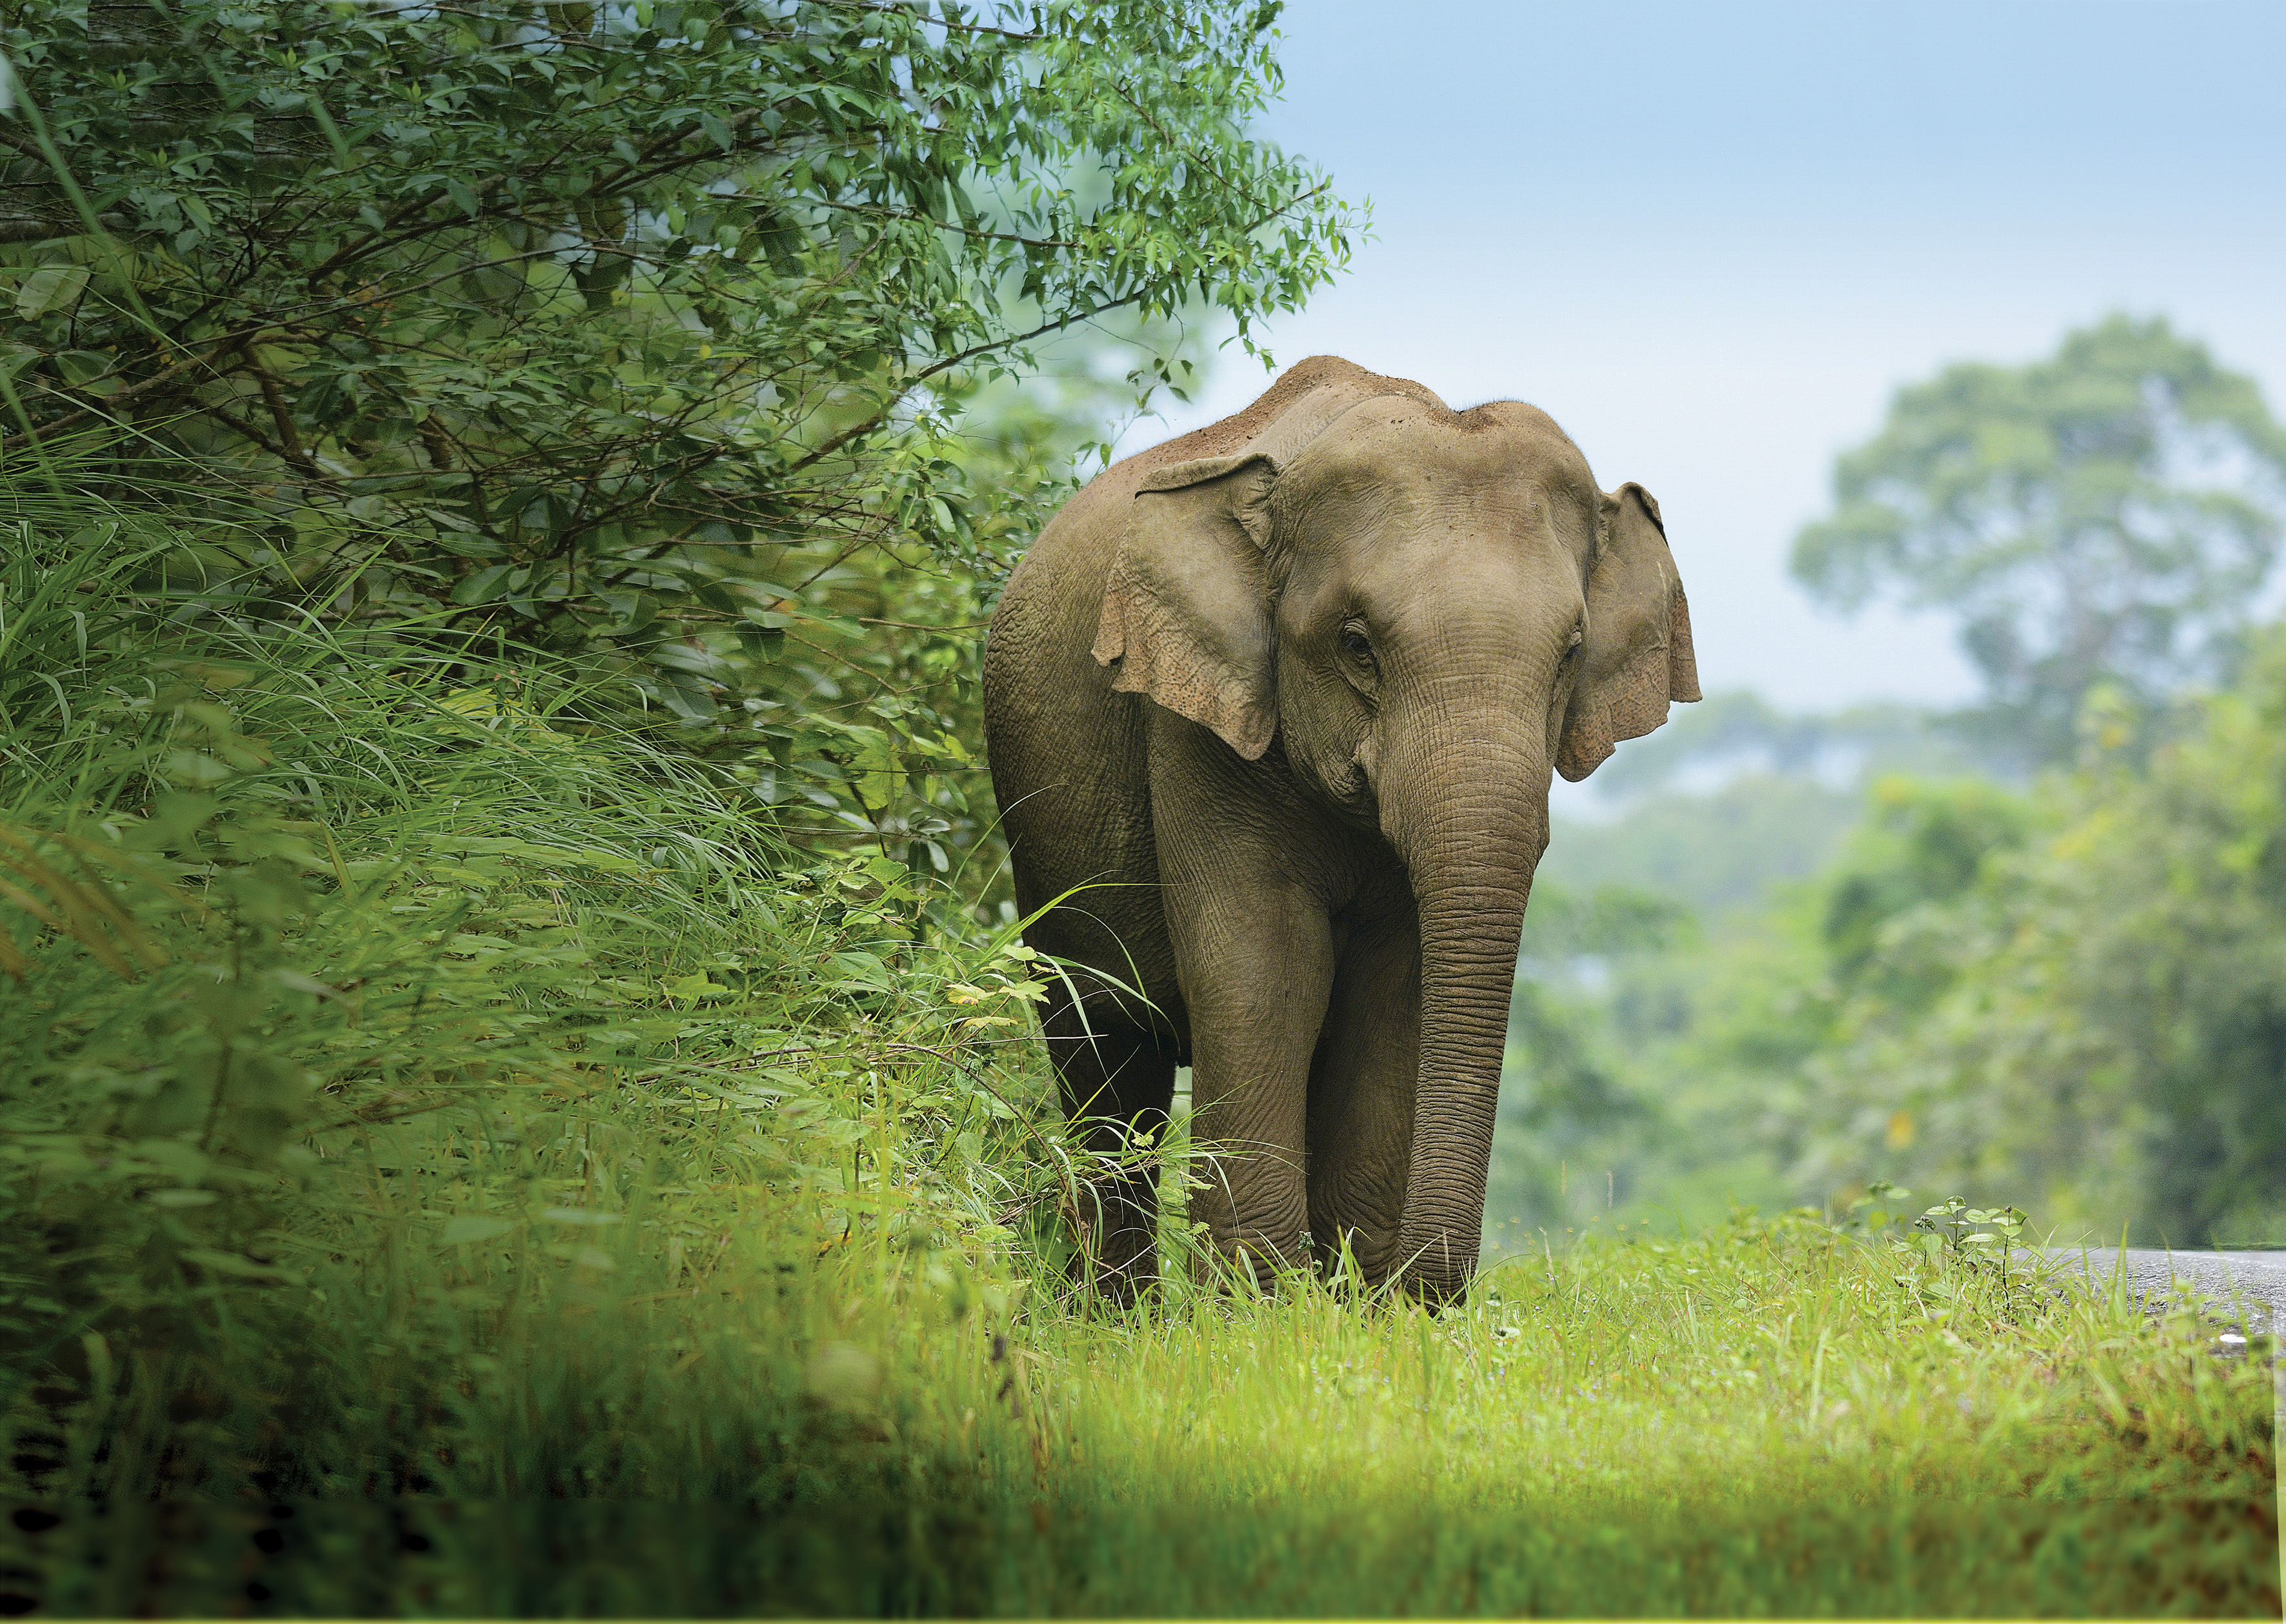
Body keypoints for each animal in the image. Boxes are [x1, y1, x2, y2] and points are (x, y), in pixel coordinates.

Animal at [981, 356, 1697, 1303]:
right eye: (1357, 646)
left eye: (1572, 654)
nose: (1426, 1295)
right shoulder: (1197, 727)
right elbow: (1265, 968)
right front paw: (1257, 1305)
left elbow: (1392, 990)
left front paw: (1347, 1305)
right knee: (1103, 1063)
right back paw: (1115, 1315)